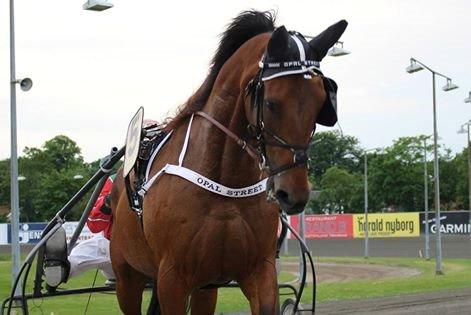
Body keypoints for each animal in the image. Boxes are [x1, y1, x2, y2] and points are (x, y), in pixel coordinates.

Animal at [110, 10, 346, 315]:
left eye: (321, 104)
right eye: (271, 103)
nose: (293, 193)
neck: (224, 181)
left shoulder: (258, 270)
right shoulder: (171, 279)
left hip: (204, 288)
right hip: (127, 277)